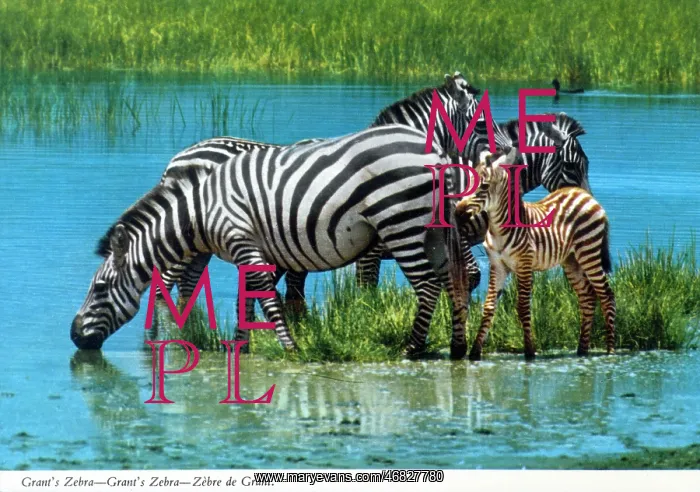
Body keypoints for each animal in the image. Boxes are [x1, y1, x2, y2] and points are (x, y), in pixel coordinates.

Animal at [71, 124, 473, 359]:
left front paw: (291, 348)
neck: (201, 211)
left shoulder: (242, 241)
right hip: (434, 232)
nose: (74, 336)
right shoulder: (249, 249)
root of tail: (436, 151)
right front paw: (241, 346)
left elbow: (266, 299)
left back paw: (413, 348)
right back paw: (458, 347)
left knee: (426, 285)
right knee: (451, 281)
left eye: (100, 288)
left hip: (400, 222)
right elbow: (247, 299)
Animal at [454, 149, 615, 361]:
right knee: (587, 297)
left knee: (607, 295)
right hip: (571, 261)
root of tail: (584, 194)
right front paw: (474, 353)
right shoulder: (498, 266)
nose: (457, 214)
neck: (498, 229)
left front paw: (530, 352)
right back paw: (582, 350)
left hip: (589, 253)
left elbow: (523, 307)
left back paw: (610, 351)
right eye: (468, 183)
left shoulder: (524, 263)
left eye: (484, 186)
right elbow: (488, 307)